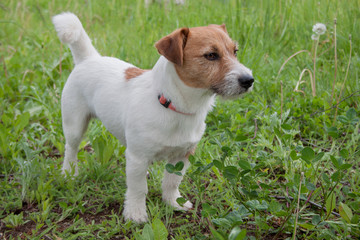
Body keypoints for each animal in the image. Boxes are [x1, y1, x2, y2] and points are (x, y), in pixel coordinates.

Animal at [52, 12, 253, 223]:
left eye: (235, 51)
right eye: (211, 55)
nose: (249, 80)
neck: (172, 105)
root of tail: (89, 59)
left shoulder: (182, 155)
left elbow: (172, 182)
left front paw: (173, 202)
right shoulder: (138, 156)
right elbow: (138, 188)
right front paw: (135, 213)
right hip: (74, 125)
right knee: (71, 149)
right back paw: (69, 172)